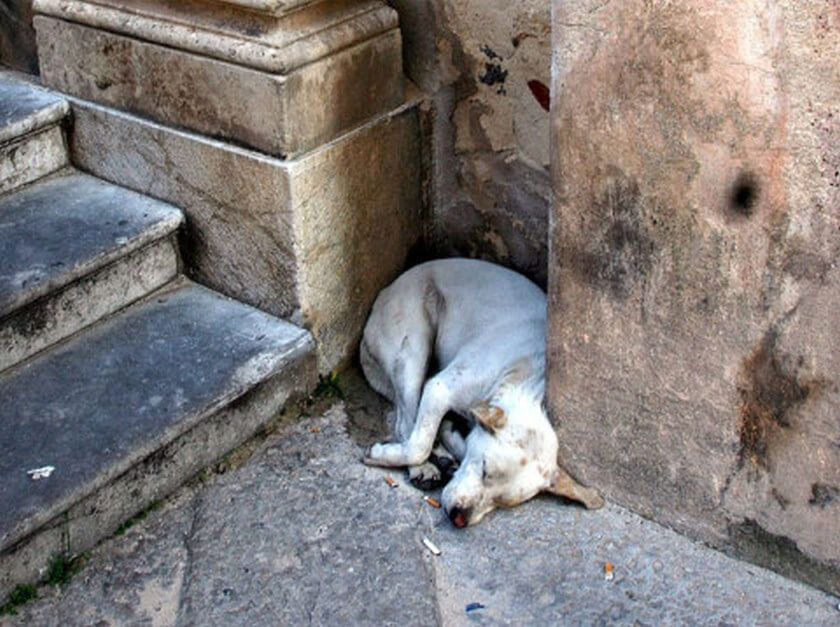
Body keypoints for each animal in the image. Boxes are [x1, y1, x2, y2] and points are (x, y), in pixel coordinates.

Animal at [360, 258, 604, 528]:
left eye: (501, 502)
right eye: (485, 469)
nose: (460, 516)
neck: (525, 376)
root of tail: (386, 290)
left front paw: (448, 441)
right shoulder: (440, 388)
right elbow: (419, 443)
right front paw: (383, 454)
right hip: (412, 346)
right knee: (405, 423)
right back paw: (422, 468)